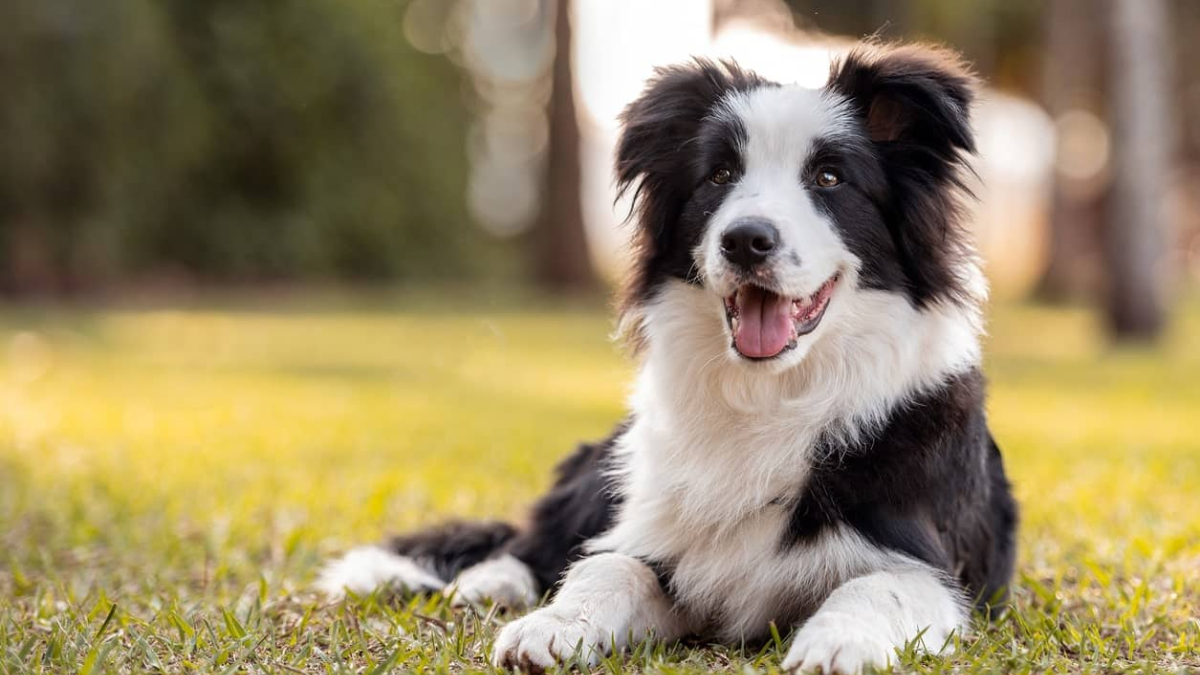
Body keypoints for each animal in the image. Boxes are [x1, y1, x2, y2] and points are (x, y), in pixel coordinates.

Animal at [316, 43, 1012, 672]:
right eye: (719, 176)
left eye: (830, 179)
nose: (745, 240)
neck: (769, 394)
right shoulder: (658, 540)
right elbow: (610, 566)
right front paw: (553, 625)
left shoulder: (934, 568)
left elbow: (878, 586)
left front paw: (839, 644)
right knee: (534, 542)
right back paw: (494, 584)